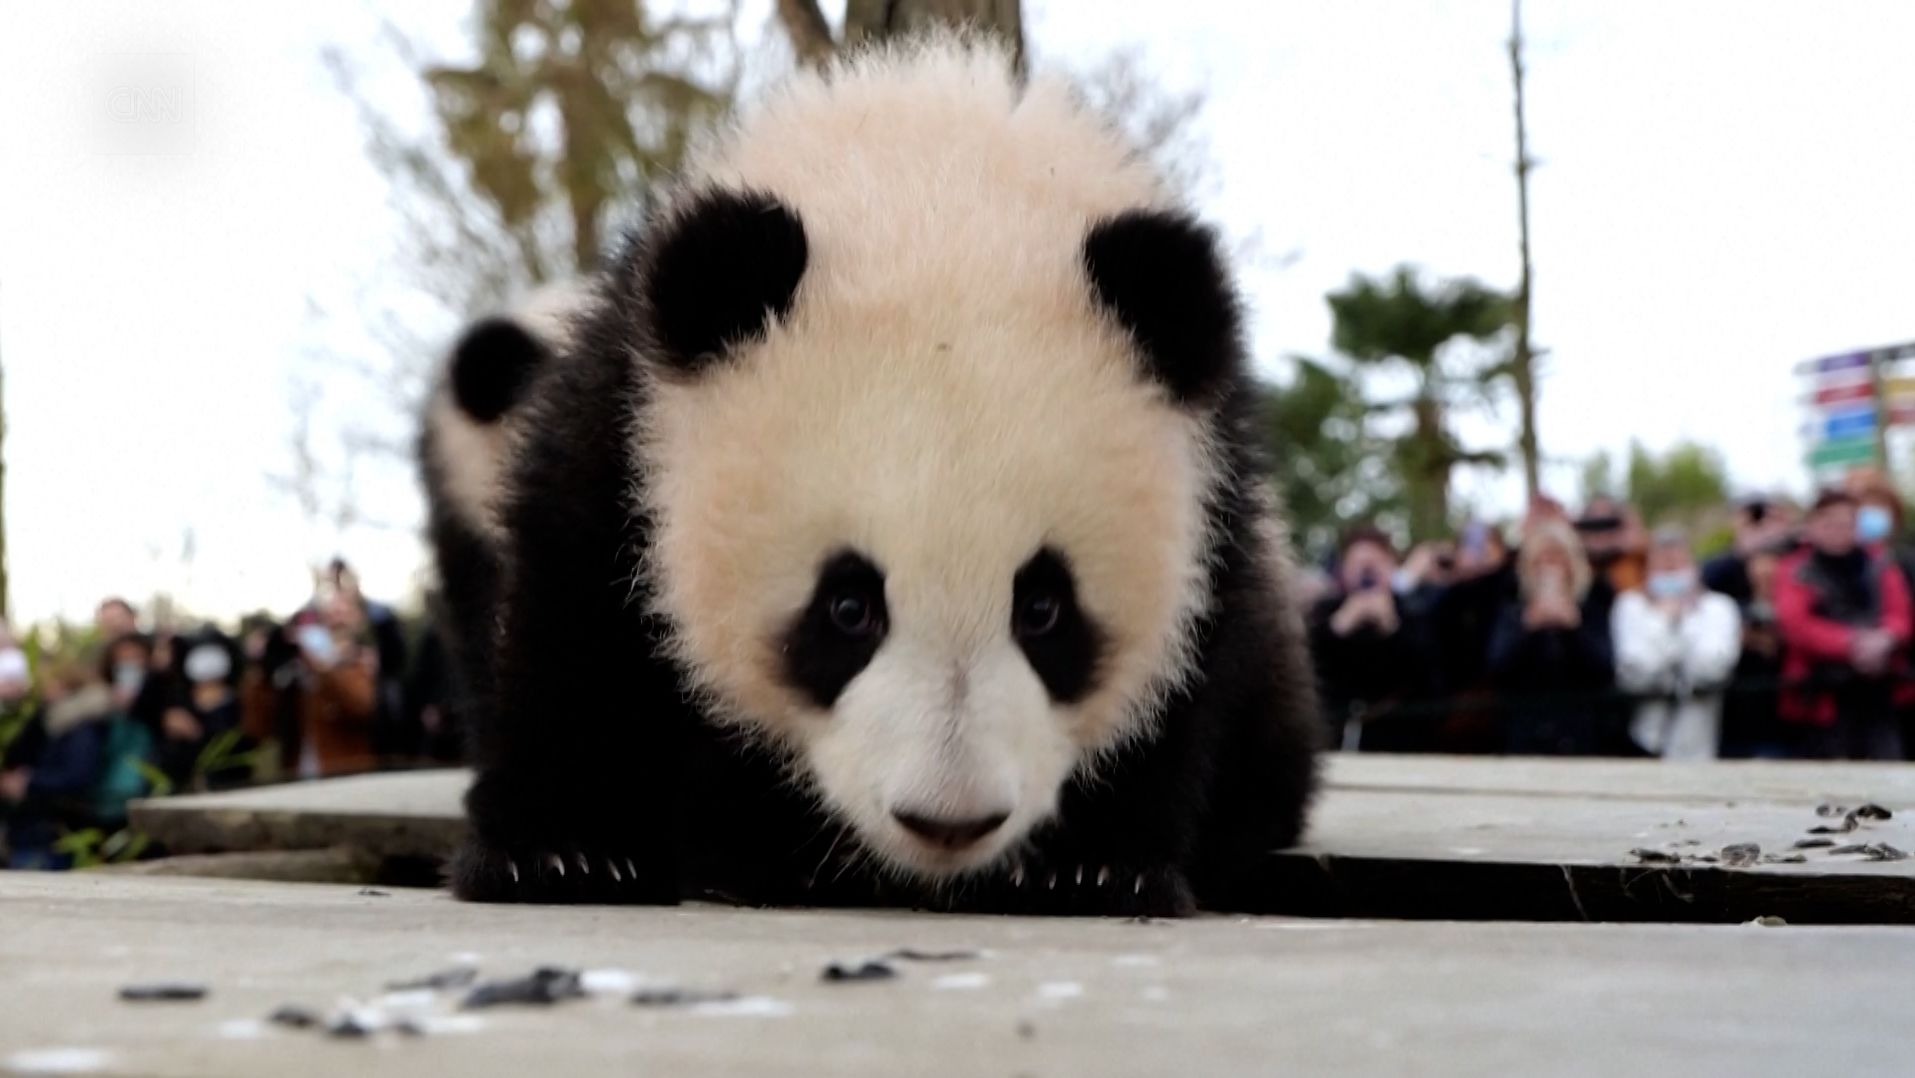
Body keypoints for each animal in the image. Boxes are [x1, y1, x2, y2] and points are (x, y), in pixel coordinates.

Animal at [438, 35, 1321, 917]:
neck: (926, 184)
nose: (949, 821)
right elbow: (578, 619)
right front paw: (560, 855)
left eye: (1043, 609)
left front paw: (1093, 870)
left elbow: (1183, 678)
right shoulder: (632, 420)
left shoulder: (1215, 483)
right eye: (847, 607)